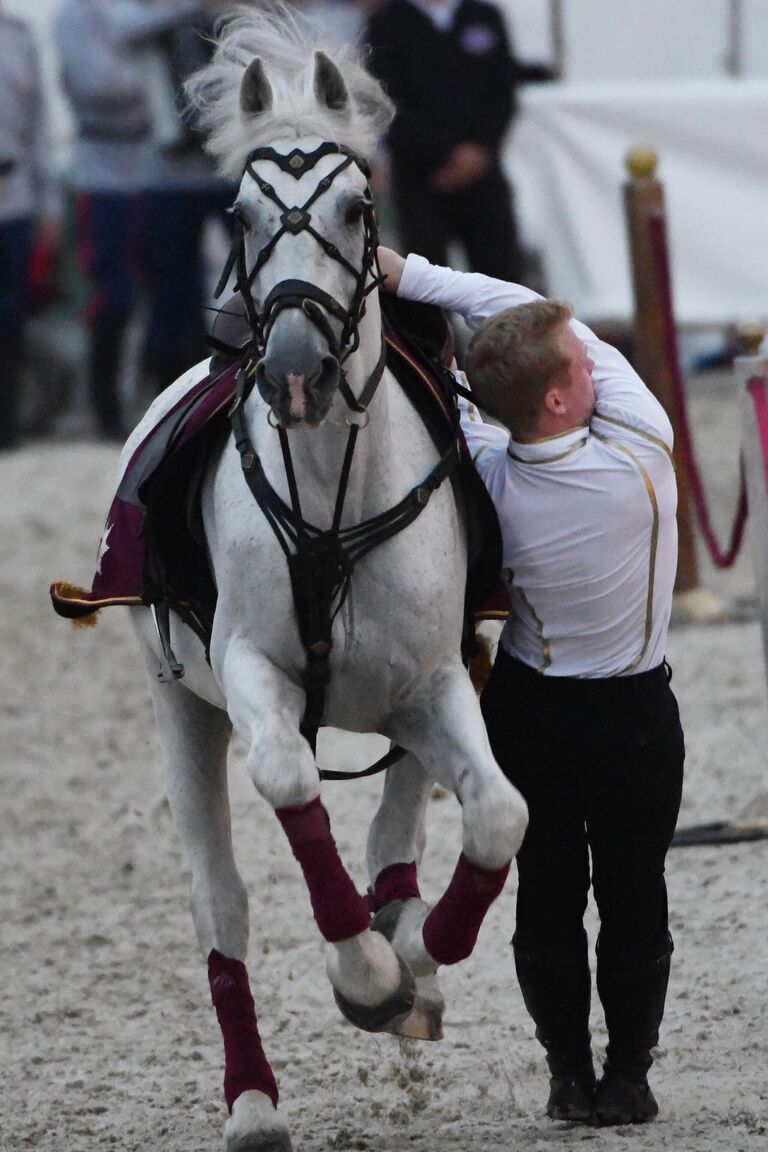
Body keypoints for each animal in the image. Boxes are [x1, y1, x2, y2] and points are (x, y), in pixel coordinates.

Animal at [121, 4, 529, 1147]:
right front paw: (366, 974)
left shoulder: (438, 675)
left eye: (356, 205)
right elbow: (292, 784)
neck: (330, 503)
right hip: (179, 704)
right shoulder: (249, 673)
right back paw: (254, 1100)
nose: (295, 371)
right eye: (241, 211)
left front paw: (413, 961)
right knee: (222, 904)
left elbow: (497, 815)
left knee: (405, 805)